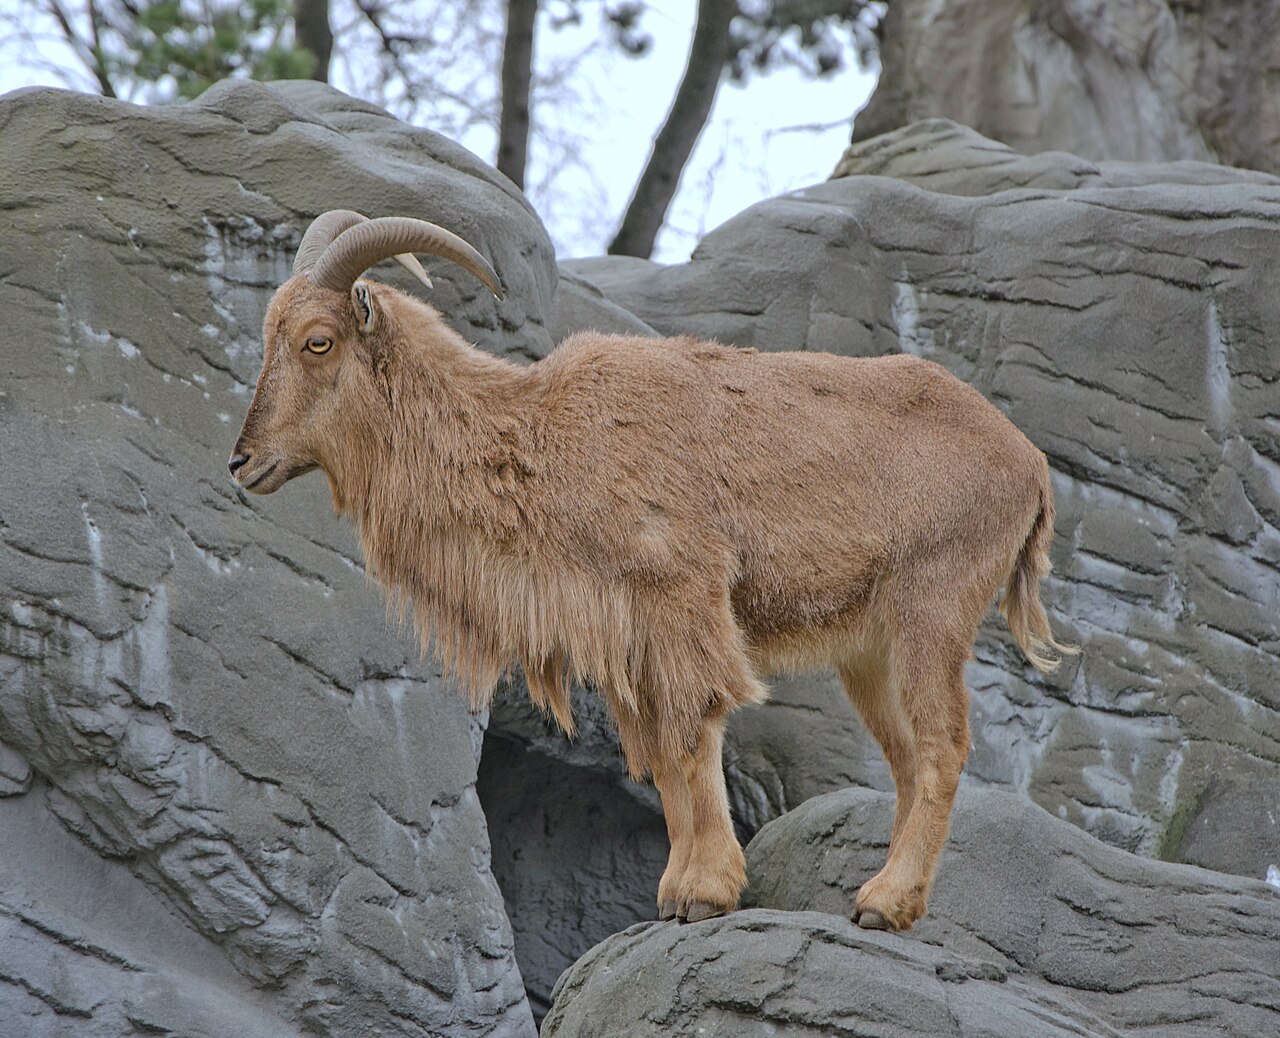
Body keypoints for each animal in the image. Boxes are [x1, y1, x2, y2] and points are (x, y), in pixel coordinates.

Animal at [229, 209, 1074, 930]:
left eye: (316, 342)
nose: (243, 461)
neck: (540, 435)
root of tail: (1028, 464)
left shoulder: (679, 597)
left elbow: (693, 734)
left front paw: (705, 893)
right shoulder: (627, 635)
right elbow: (664, 758)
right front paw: (675, 891)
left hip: (931, 608)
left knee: (942, 748)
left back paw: (885, 903)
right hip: (869, 649)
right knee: (902, 755)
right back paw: (894, 899)